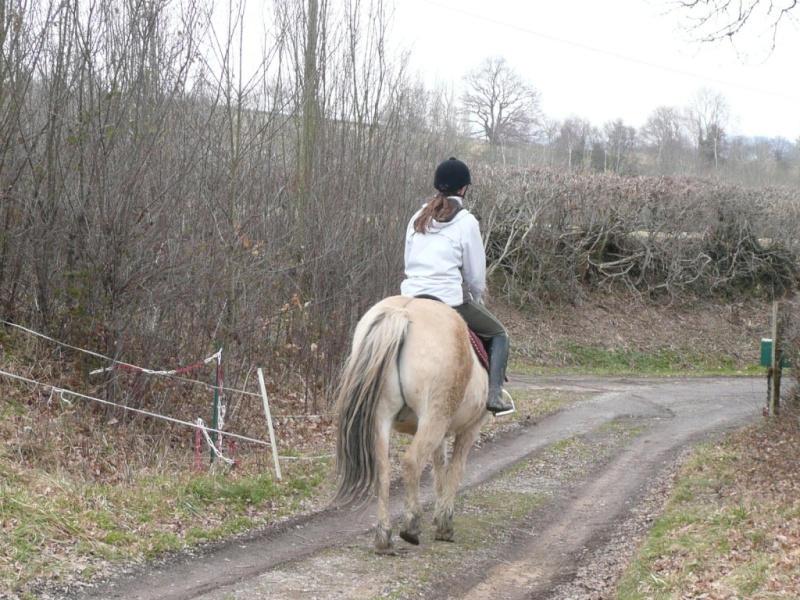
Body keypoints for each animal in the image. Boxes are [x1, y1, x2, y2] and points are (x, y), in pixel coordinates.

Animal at [330, 296, 488, 552]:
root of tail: (403, 312)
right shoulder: (470, 429)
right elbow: (455, 469)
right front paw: (444, 524)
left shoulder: (442, 433)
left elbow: (439, 466)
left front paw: (438, 515)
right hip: (433, 418)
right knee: (412, 462)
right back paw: (411, 527)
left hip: (383, 419)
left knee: (383, 470)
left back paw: (384, 537)